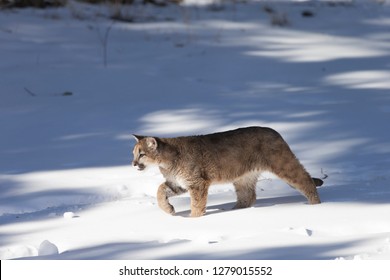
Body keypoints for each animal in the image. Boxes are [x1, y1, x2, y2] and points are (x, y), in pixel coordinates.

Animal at [133, 126, 322, 217]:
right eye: (133, 153)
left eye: (141, 154)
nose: (133, 164)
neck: (165, 162)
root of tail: (274, 131)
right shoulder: (178, 183)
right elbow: (159, 190)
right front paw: (169, 210)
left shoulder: (197, 183)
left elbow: (197, 204)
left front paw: (193, 220)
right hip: (243, 177)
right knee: (248, 196)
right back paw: (233, 211)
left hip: (282, 164)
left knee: (305, 179)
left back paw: (315, 206)